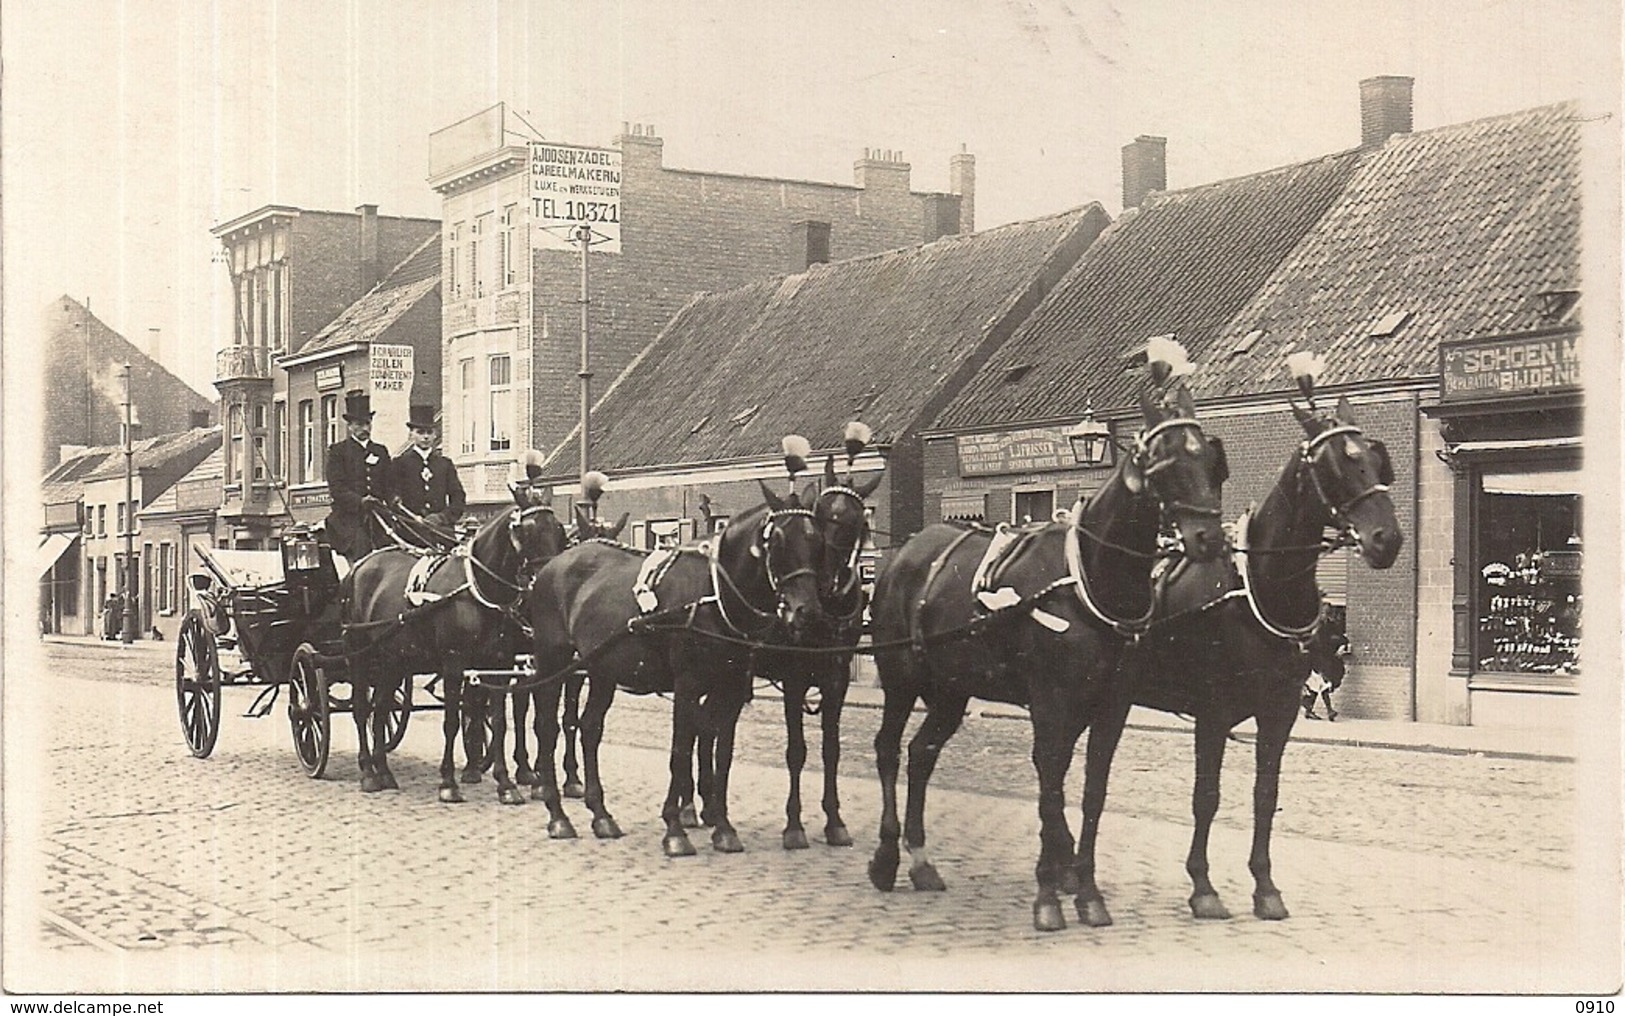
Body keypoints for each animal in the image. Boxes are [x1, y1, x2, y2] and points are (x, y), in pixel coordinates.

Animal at [342, 481, 572, 799]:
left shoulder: (498, 665)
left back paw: (383, 770)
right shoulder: (454, 663)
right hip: (360, 654)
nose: (546, 579)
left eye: (558, 530)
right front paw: (449, 782)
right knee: (362, 708)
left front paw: (505, 783)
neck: (479, 590)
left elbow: (499, 721)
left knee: (381, 707)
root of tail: (360, 566)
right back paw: (367, 772)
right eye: (525, 530)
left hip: (393, 659)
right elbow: (451, 721)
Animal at [520, 477, 825, 851]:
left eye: (817, 538)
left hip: (603, 670)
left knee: (589, 728)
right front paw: (676, 828)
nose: (806, 611)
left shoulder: (732, 686)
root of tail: (552, 567)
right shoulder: (687, 683)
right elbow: (681, 749)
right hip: (554, 662)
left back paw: (601, 814)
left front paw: (723, 826)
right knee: (548, 727)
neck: (714, 594)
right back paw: (557, 814)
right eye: (778, 539)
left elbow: (721, 751)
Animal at [864, 380, 1228, 929]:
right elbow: (1050, 784)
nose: (1208, 538)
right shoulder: (1050, 702)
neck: (1089, 577)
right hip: (902, 681)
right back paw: (886, 858)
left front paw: (1085, 887)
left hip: (951, 690)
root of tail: (904, 553)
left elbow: (1090, 791)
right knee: (887, 750)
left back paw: (922, 860)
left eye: (1209, 458)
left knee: (921, 754)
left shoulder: (1110, 706)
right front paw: (1050, 893)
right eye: (1161, 460)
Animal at [1072, 391, 1404, 923]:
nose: (1386, 539)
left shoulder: (1280, 712)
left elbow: (1265, 797)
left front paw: (1266, 888)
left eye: (1377, 460)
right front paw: (1203, 887)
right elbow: (1206, 797)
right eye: (1332, 465)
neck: (1256, 588)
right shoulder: (1213, 711)